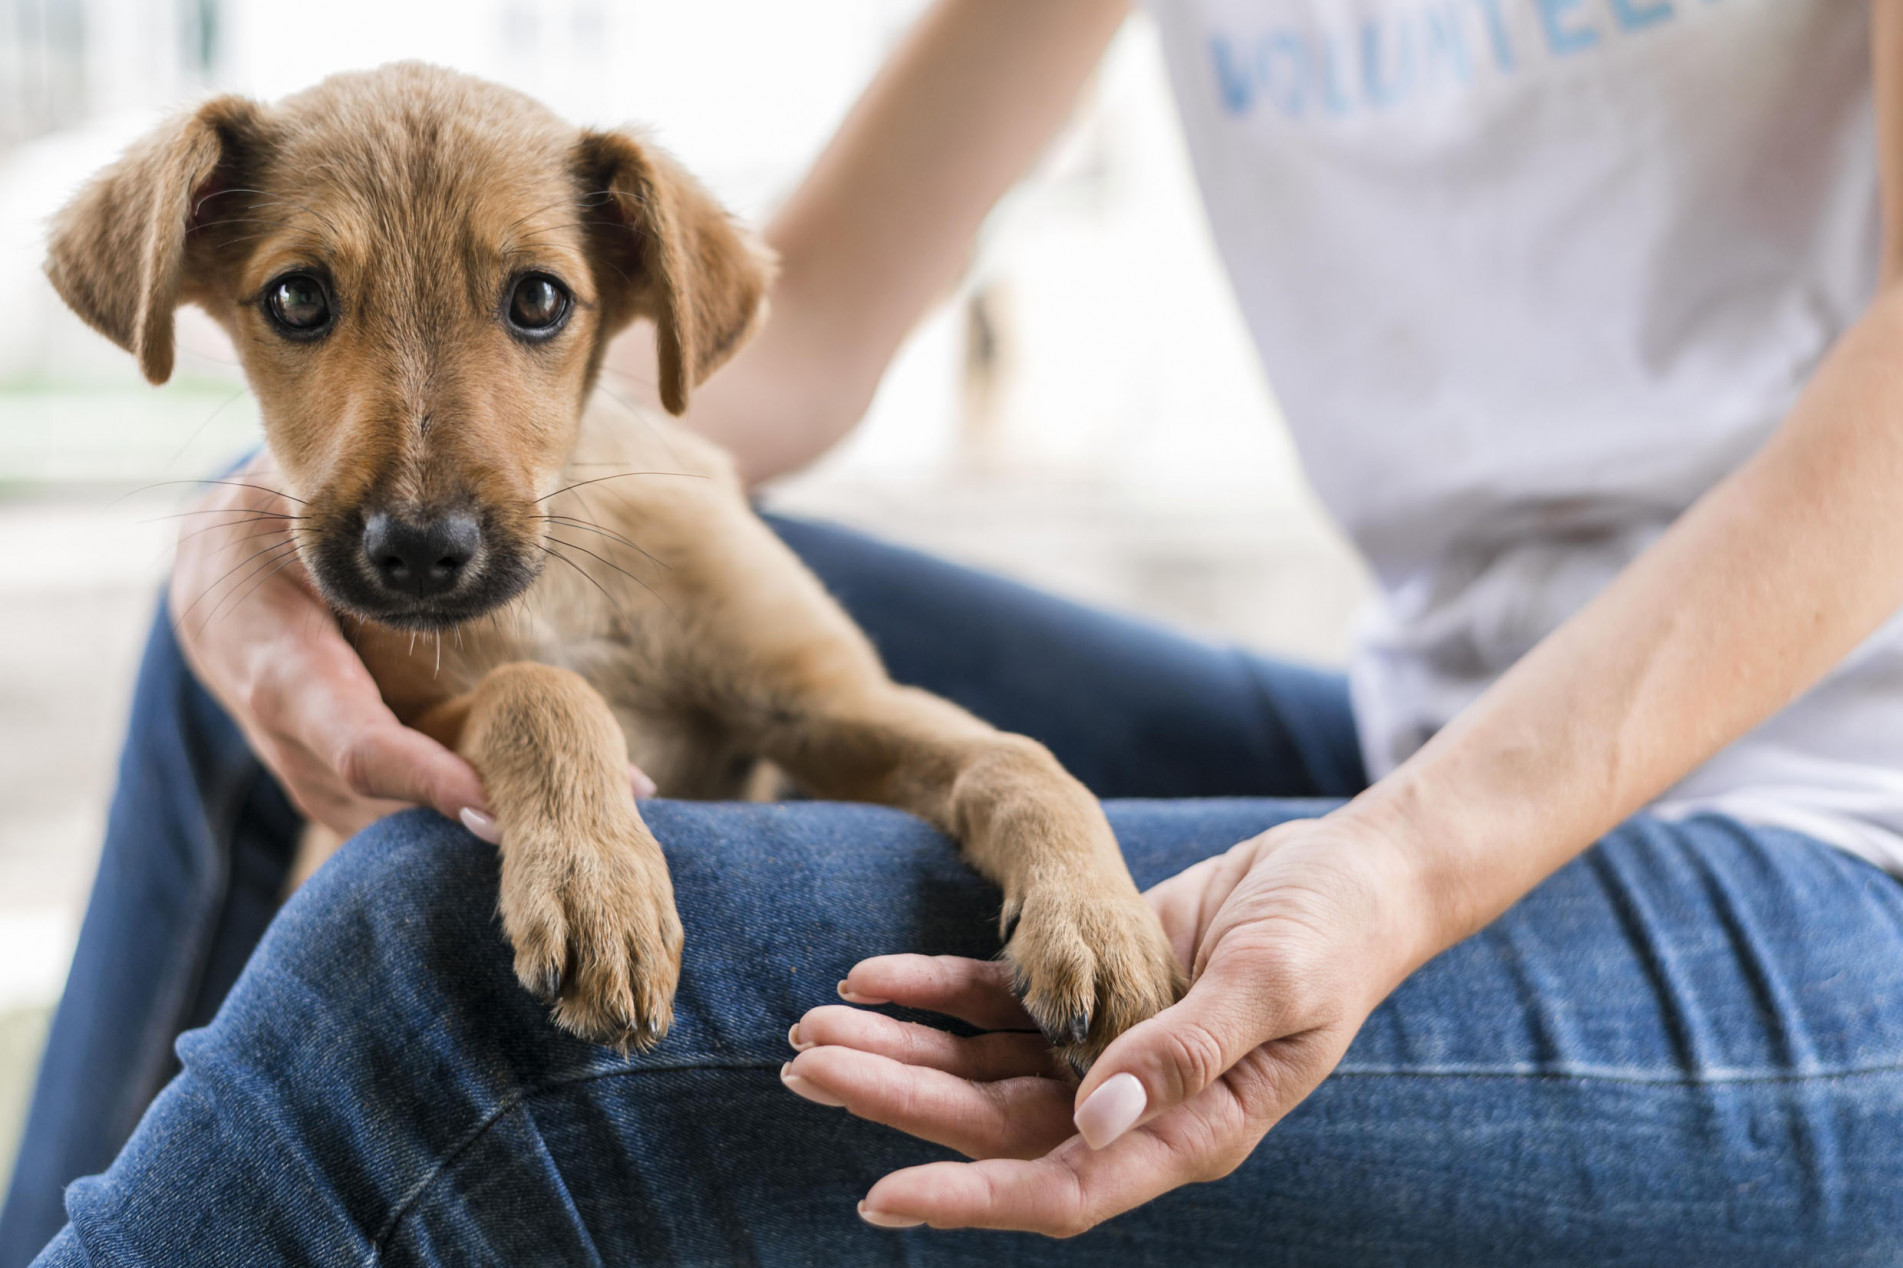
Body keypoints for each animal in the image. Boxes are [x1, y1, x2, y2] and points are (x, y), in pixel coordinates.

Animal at [44, 61, 1179, 1066]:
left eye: (540, 299)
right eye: (295, 299)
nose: (418, 552)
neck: (564, 583)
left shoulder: (826, 703)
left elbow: (1018, 759)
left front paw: (1101, 921)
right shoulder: (408, 720)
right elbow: (538, 689)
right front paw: (600, 886)